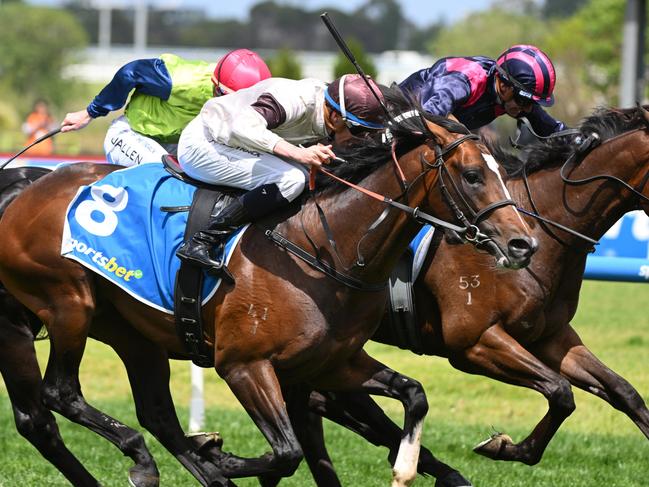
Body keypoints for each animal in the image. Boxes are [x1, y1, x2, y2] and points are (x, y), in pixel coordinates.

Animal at [0, 89, 536, 486]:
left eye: (502, 171)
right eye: (472, 175)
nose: (524, 243)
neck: (325, 249)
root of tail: (26, 189)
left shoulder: (332, 363)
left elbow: (414, 391)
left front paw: (405, 466)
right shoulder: (244, 365)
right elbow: (286, 452)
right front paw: (218, 453)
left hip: (132, 331)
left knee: (154, 414)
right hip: (68, 303)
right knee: (59, 394)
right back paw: (147, 458)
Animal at [294, 105, 648, 486]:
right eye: (473, 176)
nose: (522, 248)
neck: (543, 227)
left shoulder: (551, 337)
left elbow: (623, 392)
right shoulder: (475, 343)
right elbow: (560, 392)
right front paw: (503, 447)